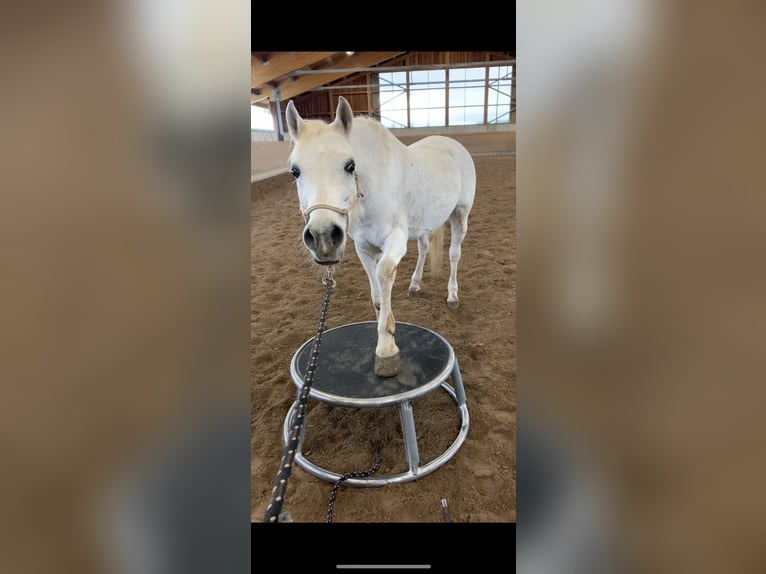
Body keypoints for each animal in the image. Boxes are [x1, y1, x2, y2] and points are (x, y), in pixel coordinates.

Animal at [285, 96, 476, 377]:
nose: (323, 237)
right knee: (424, 247)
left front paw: (386, 348)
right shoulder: (363, 248)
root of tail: (453, 145)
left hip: (459, 215)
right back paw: (415, 285)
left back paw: (452, 296)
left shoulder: (394, 242)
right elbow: (376, 295)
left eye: (350, 165)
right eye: (295, 171)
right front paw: (386, 328)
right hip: (424, 224)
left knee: (454, 254)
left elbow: (384, 275)